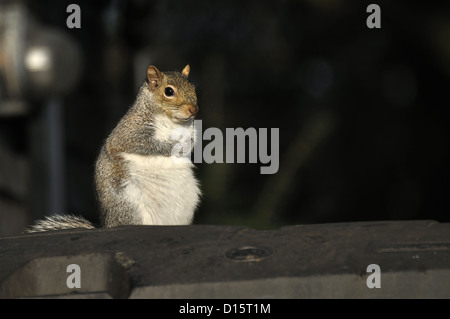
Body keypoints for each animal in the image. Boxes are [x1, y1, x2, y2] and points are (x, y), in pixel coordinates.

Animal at [25, 65, 200, 234]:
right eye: (169, 91)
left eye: (192, 86)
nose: (194, 109)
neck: (173, 121)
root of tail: (108, 225)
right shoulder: (129, 133)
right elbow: (145, 144)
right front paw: (171, 146)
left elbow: (191, 142)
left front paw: (186, 145)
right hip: (128, 204)